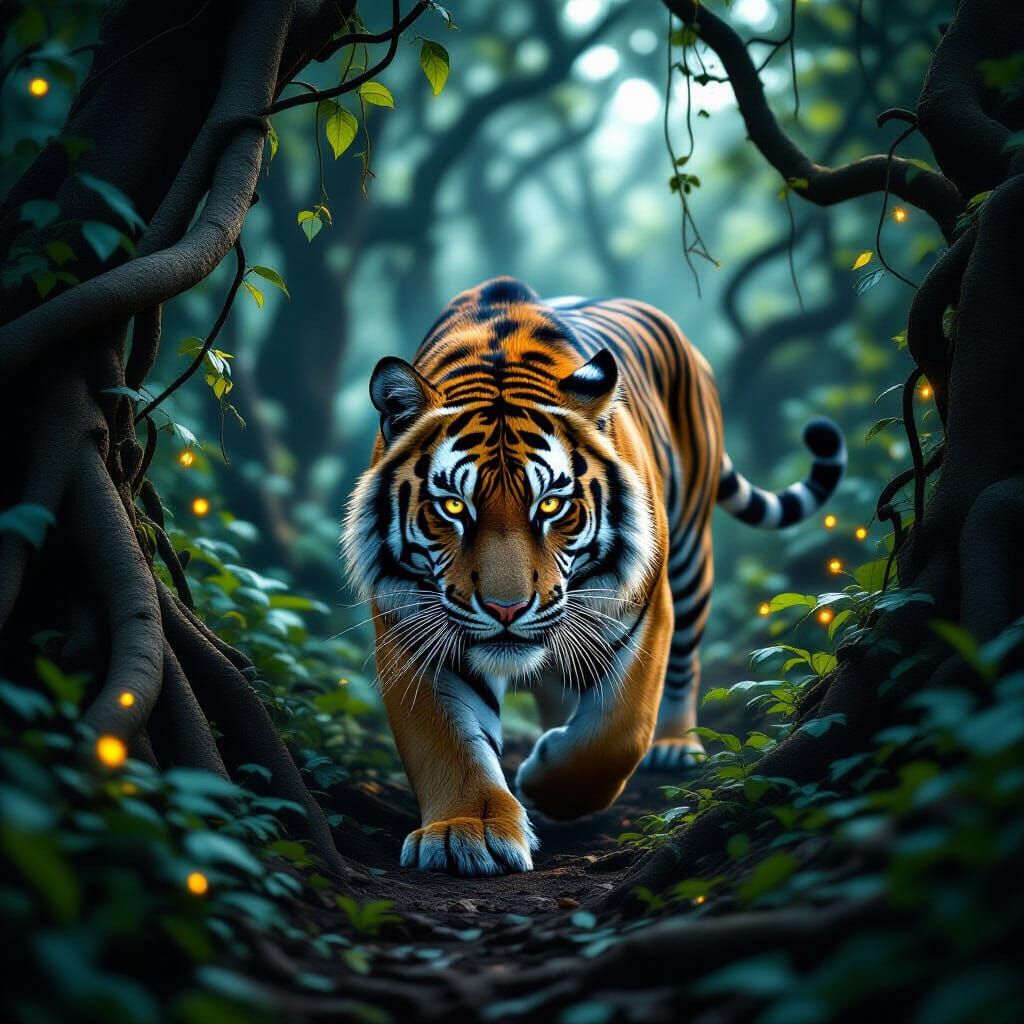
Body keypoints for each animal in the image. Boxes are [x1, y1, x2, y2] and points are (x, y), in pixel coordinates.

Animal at [343, 277, 845, 877]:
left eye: (551, 504)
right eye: (453, 507)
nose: (506, 609)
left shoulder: (645, 606)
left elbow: (615, 733)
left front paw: (549, 785)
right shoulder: (411, 626)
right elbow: (447, 743)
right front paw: (467, 831)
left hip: (690, 555)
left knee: (682, 663)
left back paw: (673, 745)